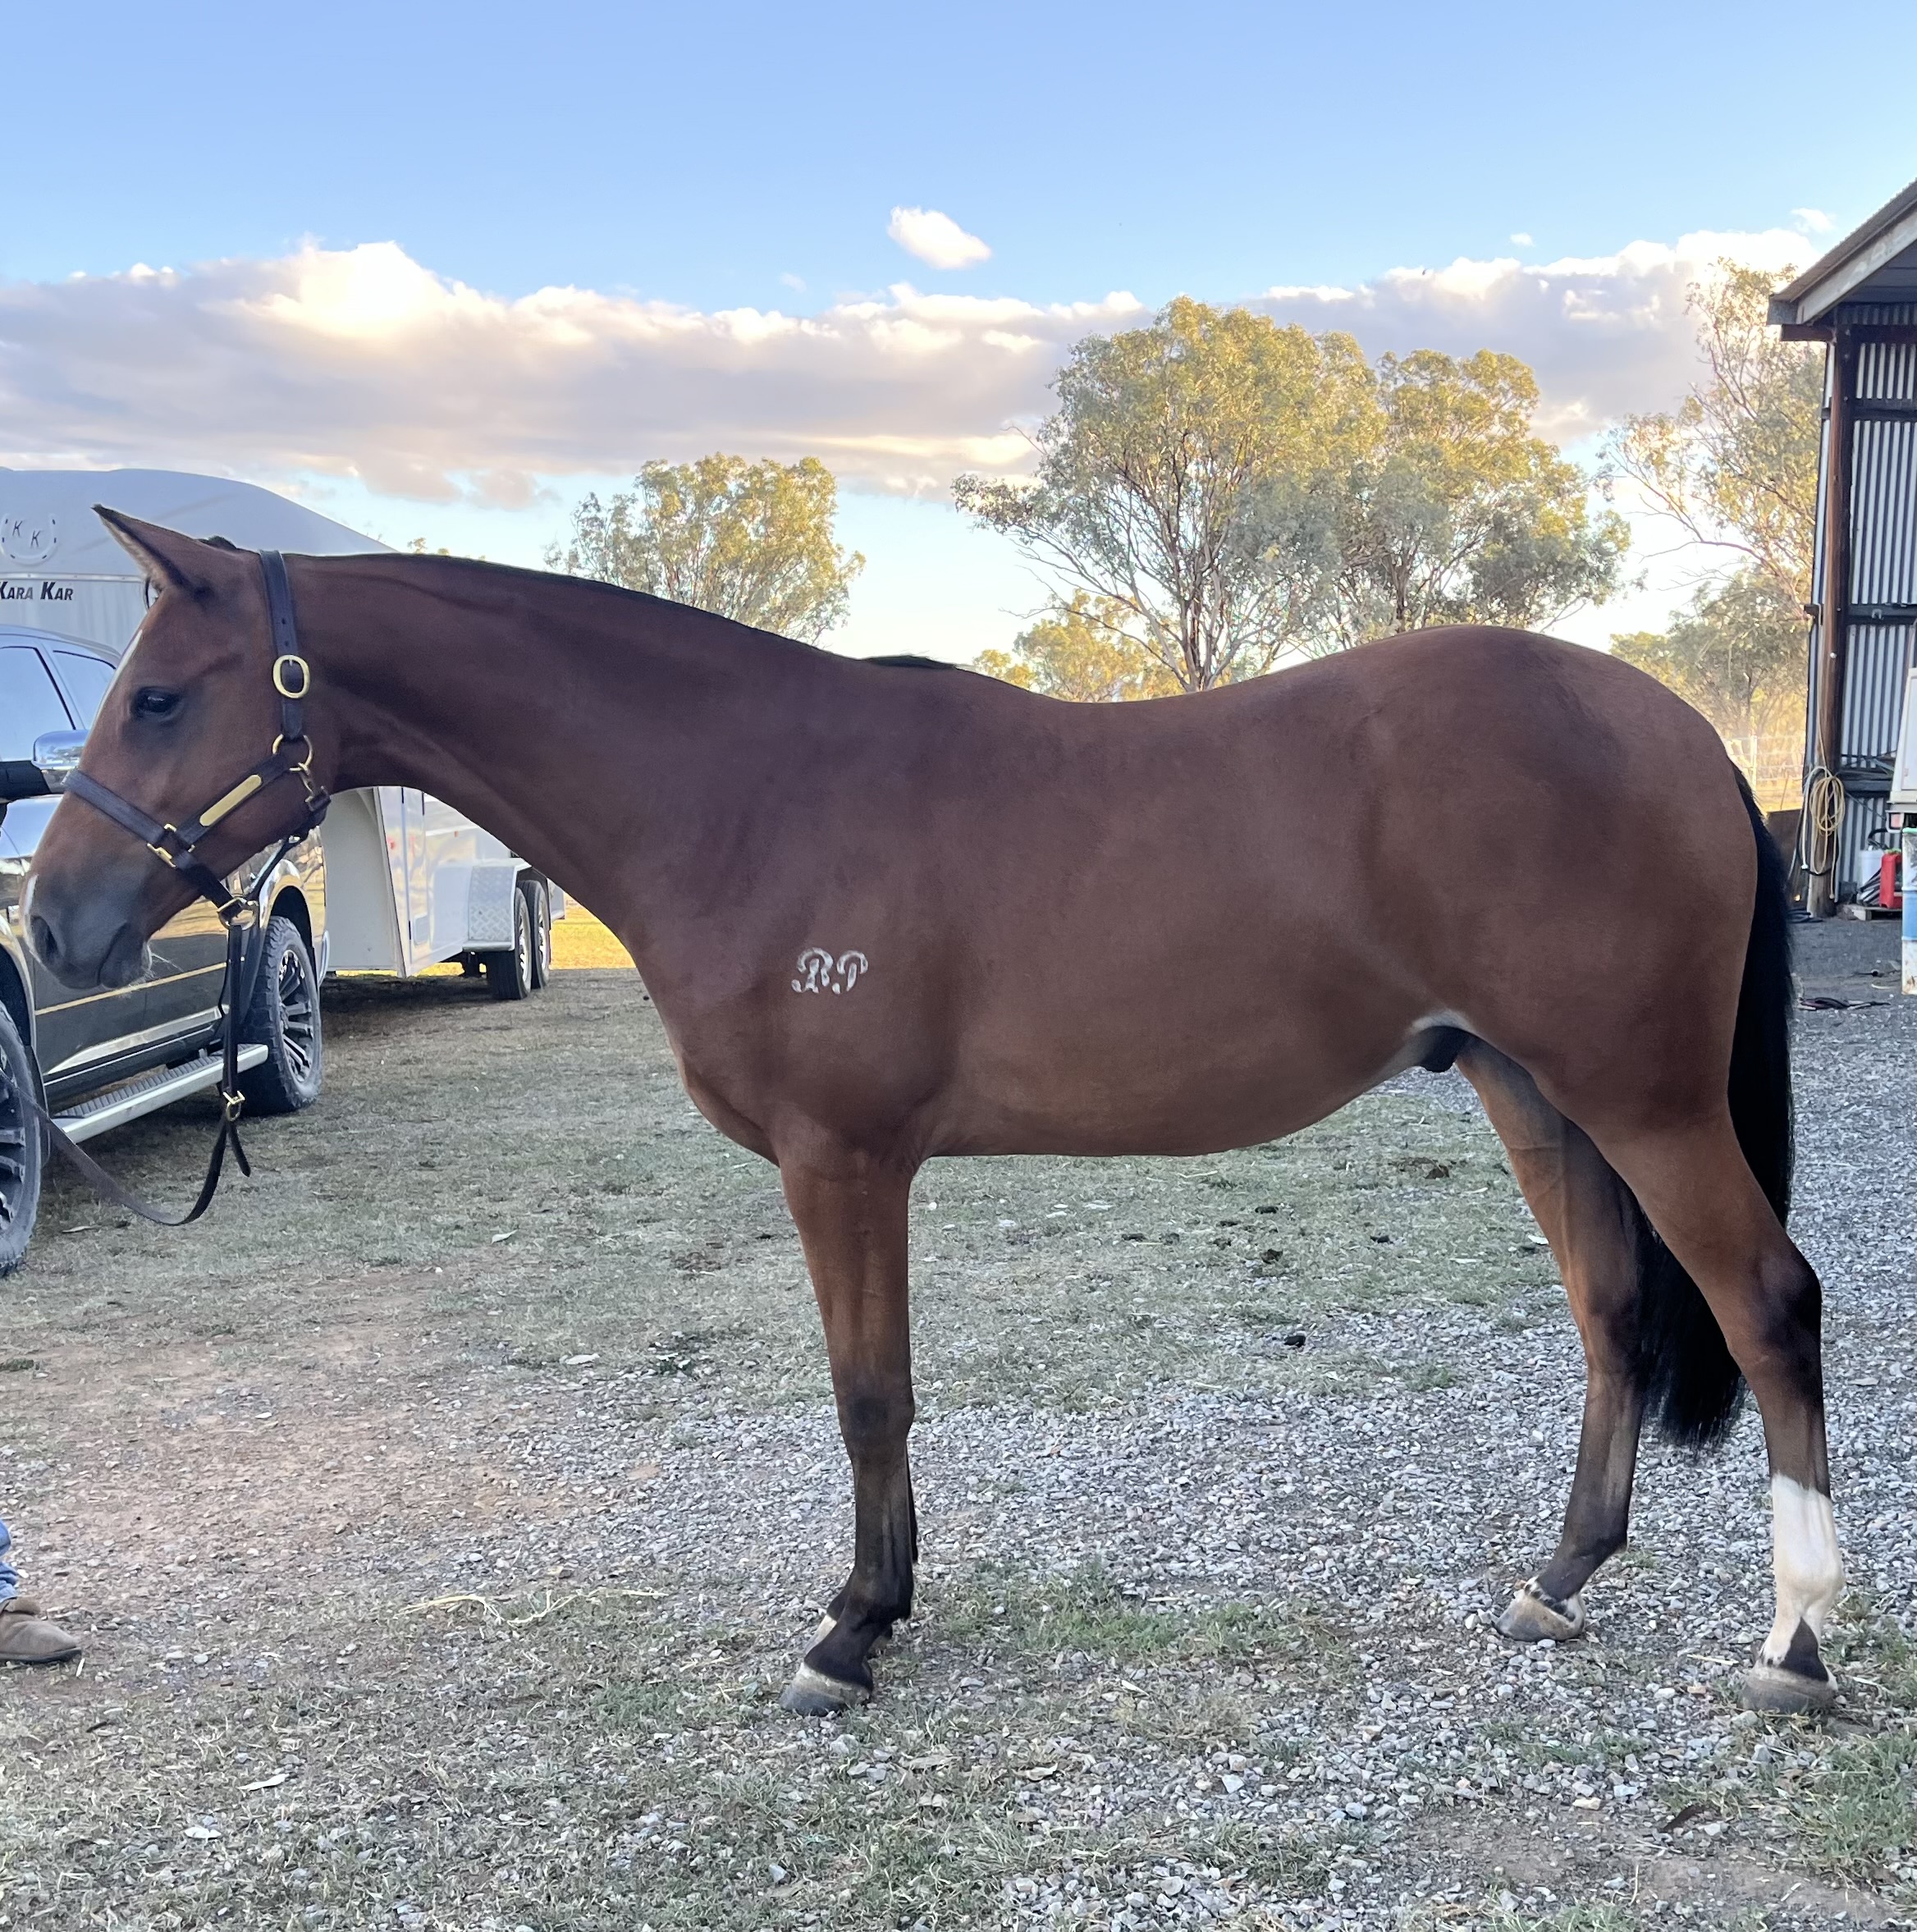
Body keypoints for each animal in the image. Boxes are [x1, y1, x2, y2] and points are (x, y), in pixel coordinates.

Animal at [22, 510, 1843, 1718]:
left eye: (160, 695)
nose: (54, 926)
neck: (750, 791)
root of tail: (1678, 729)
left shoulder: (842, 1161)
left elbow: (865, 1395)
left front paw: (846, 1630)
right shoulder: (863, 1165)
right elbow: (883, 1391)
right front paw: (882, 1605)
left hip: (1641, 1099)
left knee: (1765, 1306)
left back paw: (1797, 1644)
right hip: (1532, 1090)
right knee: (1615, 1317)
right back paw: (1553, 1584)